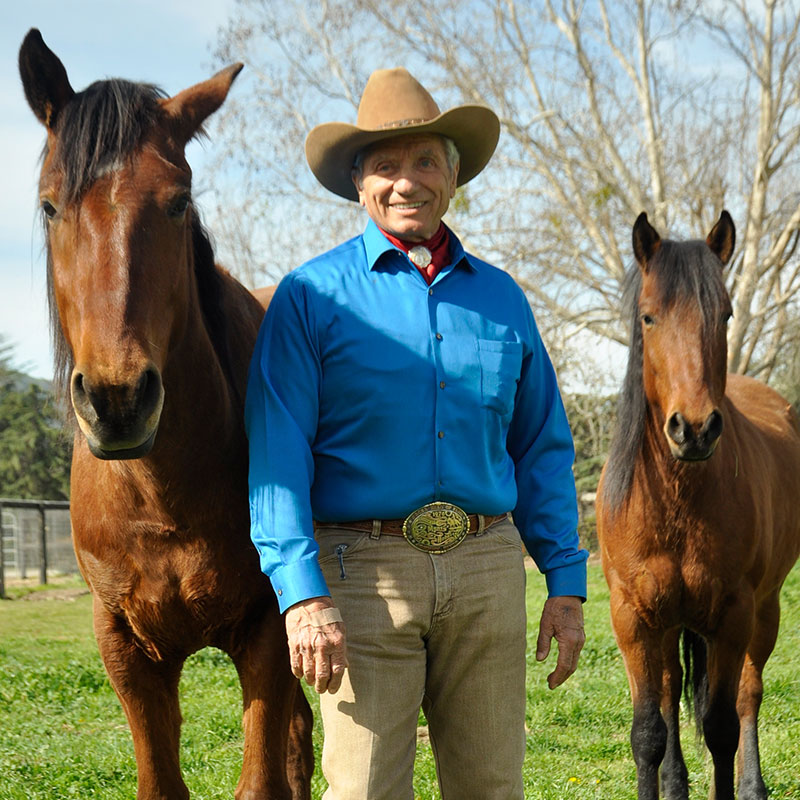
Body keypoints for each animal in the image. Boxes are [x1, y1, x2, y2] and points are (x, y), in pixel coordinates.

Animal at [18, 29, 312, 800]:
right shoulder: (126, 646)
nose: (118, 400)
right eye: (50, 206)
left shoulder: (268, 630)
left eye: (178, 202)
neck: (161, 497)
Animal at [592, 212, 800, 800]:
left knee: (749, 694)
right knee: (669, 693)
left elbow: (722, 725)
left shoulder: (733, 615)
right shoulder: (633, 620)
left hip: (765, 612)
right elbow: (648, 732)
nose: (695, 428)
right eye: (648, 317)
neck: (678, 501)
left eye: (724, 313)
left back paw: (753, 785)